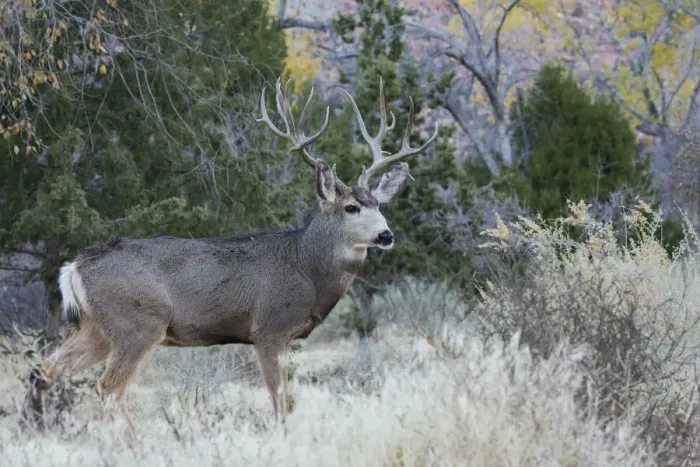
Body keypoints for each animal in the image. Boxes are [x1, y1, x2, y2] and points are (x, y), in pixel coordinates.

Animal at [39, 77, 439, 427]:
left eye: (378, 205)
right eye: (351, 207)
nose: (386, 234)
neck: (306, 267)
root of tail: (75, 266)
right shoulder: (270, 328)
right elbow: (280, 402)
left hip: (97, 327)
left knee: (49, 368)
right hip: (137, 323)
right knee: (109, 388)